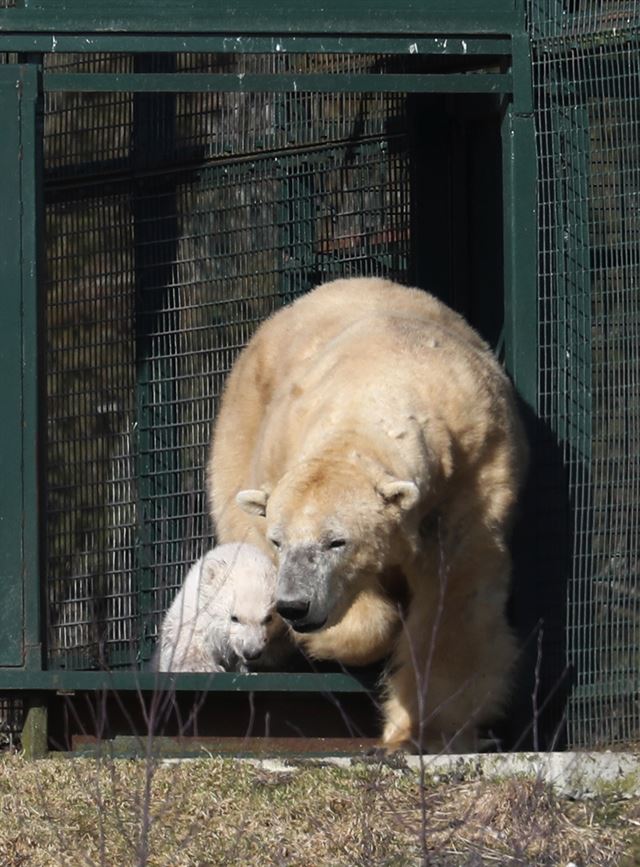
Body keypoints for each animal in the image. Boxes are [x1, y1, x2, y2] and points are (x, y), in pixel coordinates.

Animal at [208, 278, 528, 752]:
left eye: (337, 541)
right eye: (279, 540)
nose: (294, 607)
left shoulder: (471, 478)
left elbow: (455, 601)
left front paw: (425, 733)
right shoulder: (283, 447)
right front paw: (329, 637)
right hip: (242, 420)